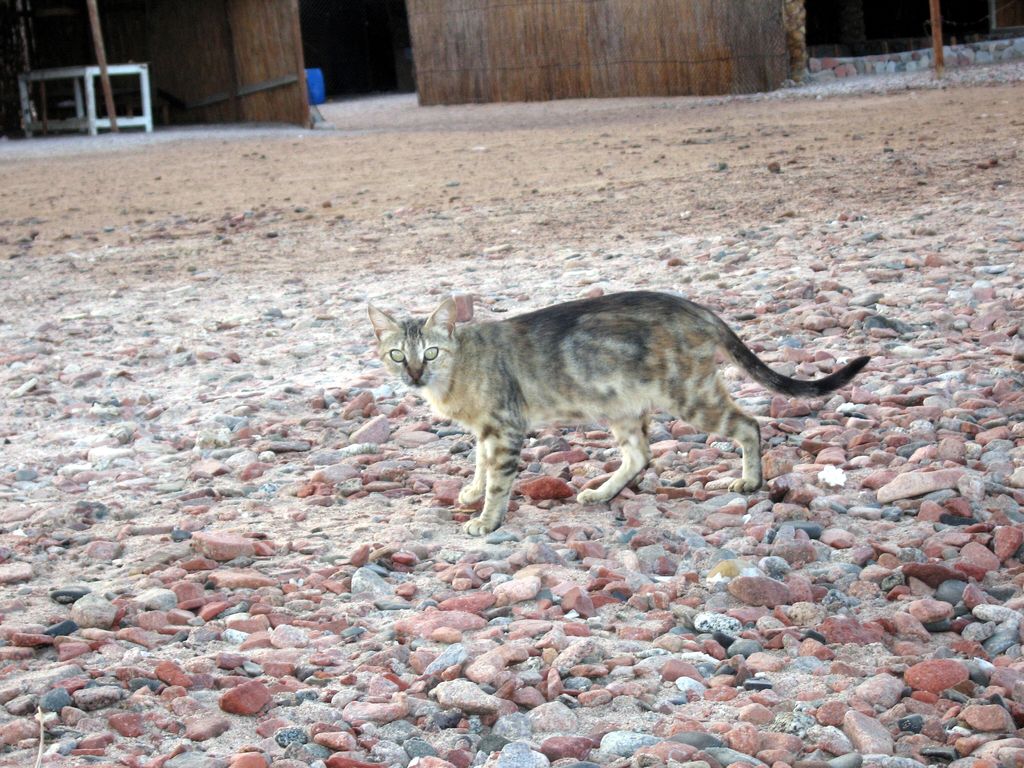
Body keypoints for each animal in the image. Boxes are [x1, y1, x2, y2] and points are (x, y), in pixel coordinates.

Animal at [368, 291, 869, 536]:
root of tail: (699, 309)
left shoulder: (504, 427)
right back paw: (601, 492)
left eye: (431, 352)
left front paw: (487, 519)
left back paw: (750, 480)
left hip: (689, 394)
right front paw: (472, 491)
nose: (414, 374)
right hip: (620, 405)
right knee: (640, 456)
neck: (454, 378)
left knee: (748, 424)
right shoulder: (484, 430)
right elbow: (477, 464)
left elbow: (497, 481)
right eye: (397, 355)